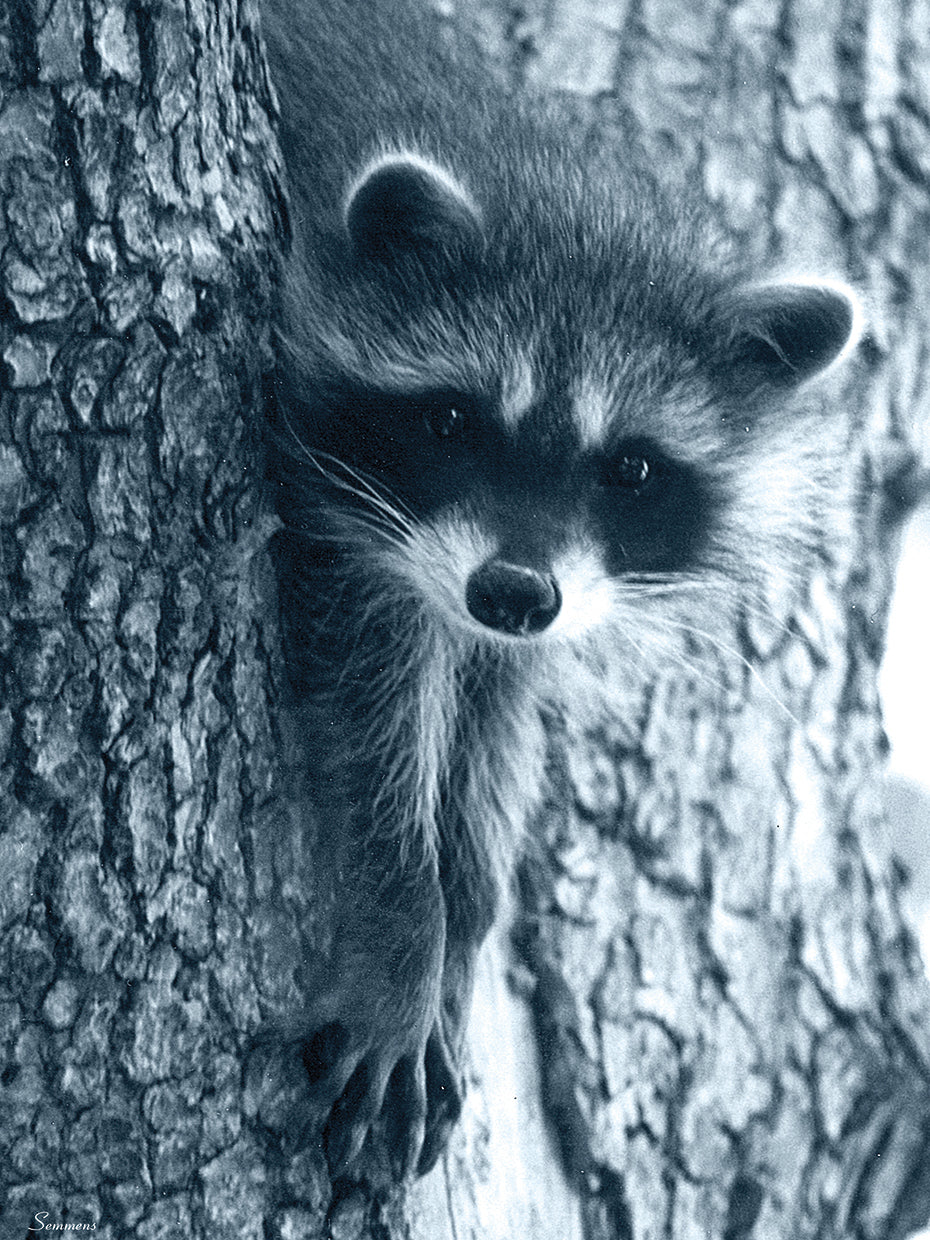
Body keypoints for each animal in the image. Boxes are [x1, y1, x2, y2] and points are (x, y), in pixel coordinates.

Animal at [262, 0, 862, 1180]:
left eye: (629, 468)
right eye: (452, 421)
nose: (511, 591)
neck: (557, 195)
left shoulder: (545, 594)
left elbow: (499, 716)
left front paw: (462, 917)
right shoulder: (345, 514)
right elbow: (370, 697)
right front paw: (404, 916)